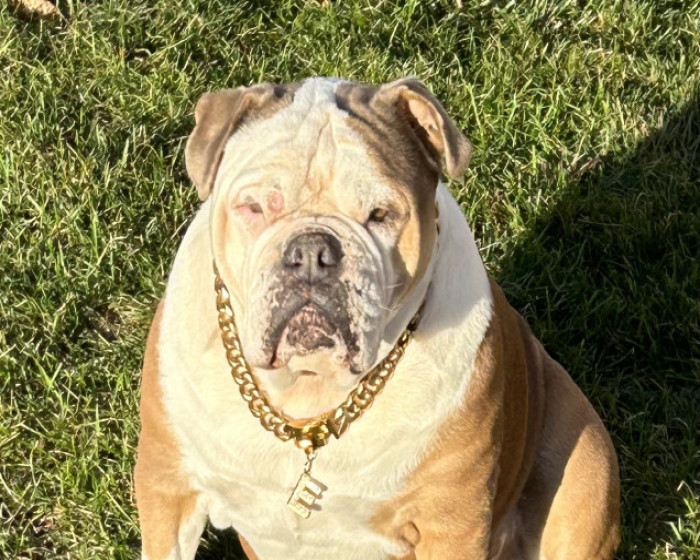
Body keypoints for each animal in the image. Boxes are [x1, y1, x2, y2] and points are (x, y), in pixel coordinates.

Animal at [134, 77, 620, 560]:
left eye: (381, 214)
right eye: (254, 207)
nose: (312, 252)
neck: (312, 392)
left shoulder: (452, 521)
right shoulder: (167, 488)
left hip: (586, 461)